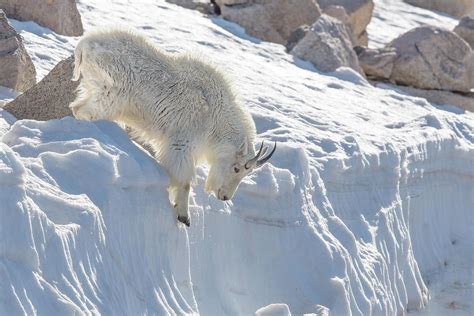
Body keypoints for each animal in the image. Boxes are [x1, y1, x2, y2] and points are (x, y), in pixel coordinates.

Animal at [71, 28, 278, 227]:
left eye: (247, 173)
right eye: (236, 168)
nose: (225, 196)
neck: (216, 118)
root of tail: (84, 45)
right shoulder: (181, 144)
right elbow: (184, 181)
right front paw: (184, 216)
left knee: (77, 107)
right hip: (109, 96)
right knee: (82, 111)